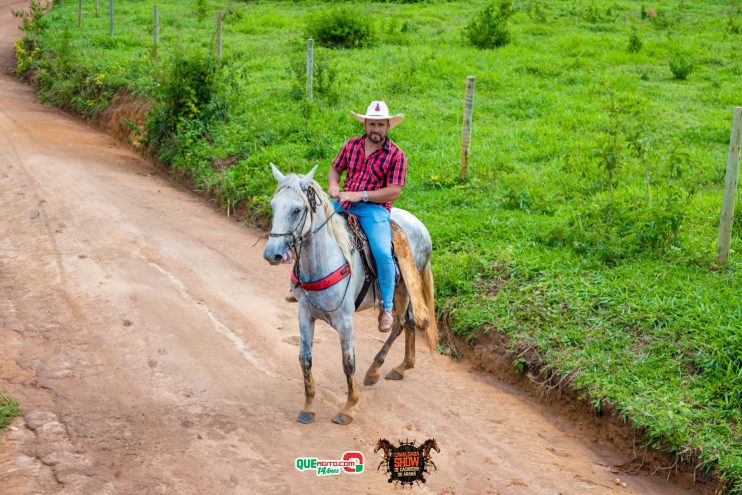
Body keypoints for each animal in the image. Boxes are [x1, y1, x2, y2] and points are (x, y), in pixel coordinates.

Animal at [264, 166, 438, 426]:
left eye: (297, 210)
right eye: (273, 206)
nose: (271, 254)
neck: (324, 259)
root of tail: (421, 226)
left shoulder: (345, 321)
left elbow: (348, 363)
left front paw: (348, 408)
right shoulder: (304, 313)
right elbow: (305, 358)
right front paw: (308, 407)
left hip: (402, 289)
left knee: (400, 323)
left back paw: (375, 369)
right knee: (409, 323)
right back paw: (402, 367)